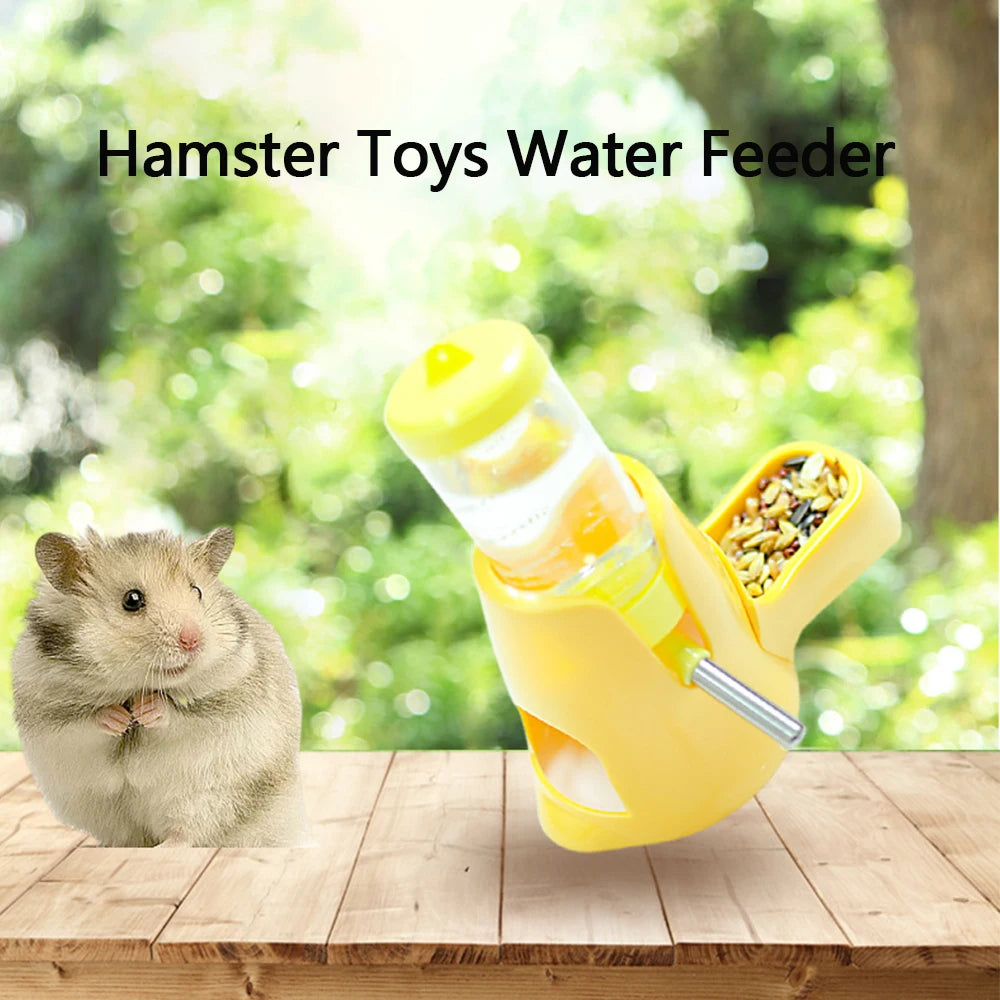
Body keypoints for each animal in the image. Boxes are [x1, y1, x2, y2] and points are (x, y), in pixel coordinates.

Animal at [11, 526, 311, 848]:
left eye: (197, 591)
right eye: (132, 599)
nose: (193, 640)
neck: (133, 685)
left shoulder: (228, 701)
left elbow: (180, 716)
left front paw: (146, 711)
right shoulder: (48, 716)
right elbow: (85, 721)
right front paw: (119, 718)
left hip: (211, 797)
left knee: (189, 833)